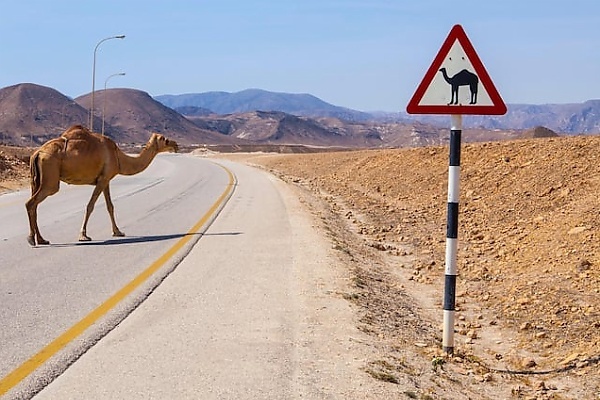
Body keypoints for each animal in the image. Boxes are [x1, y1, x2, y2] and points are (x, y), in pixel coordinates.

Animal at [25, 125, 178, 245]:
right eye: (164, 139)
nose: (175, 145)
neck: (118, 156)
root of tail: (37, 153)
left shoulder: (105, 180)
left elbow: (110, 206)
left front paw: (118, 231)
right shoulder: (103, 179)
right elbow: (90, 206)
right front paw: (83, 235)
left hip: (36, 180)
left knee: (34, 205)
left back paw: (42, 239)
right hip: (50, 177)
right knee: (31, 203)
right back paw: (32, 239)